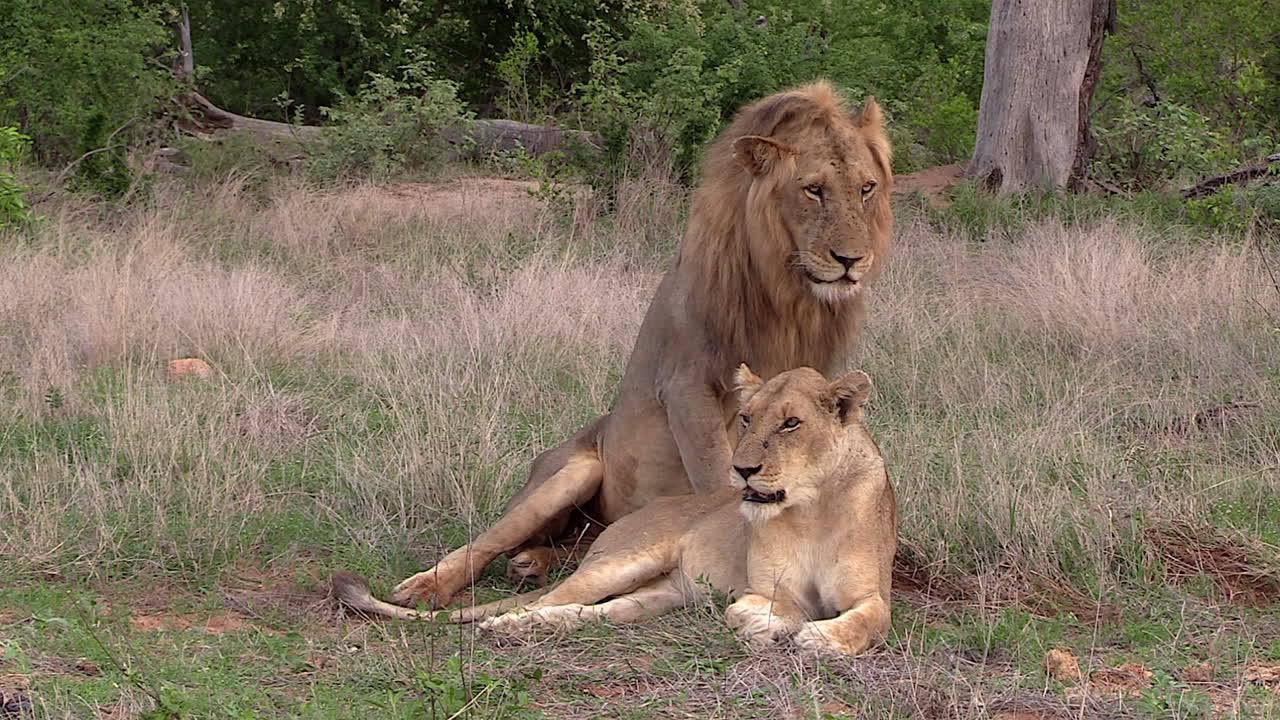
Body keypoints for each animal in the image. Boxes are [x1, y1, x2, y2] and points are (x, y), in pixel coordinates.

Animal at [333, 365, 897, 655]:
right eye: (746, 417)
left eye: (790, 424)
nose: (742, 470)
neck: (811, 509)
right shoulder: (764, 588)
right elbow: (770, 608)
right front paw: (770, 625)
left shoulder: (871, 595)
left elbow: (869, 621)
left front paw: (818, 636)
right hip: (621, 551)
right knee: (537, 594)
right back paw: (500, 621)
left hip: (662, 594)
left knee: (592, 612)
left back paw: (531, 626)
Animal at [383, 80, 894, 610]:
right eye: (814, 189)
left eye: (867, 188)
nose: (852, 260)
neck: (789, 293)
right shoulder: (686, 385)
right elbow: (717, 475)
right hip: (567, 476)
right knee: (489, 542)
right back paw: (427, 585)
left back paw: (533, 564)